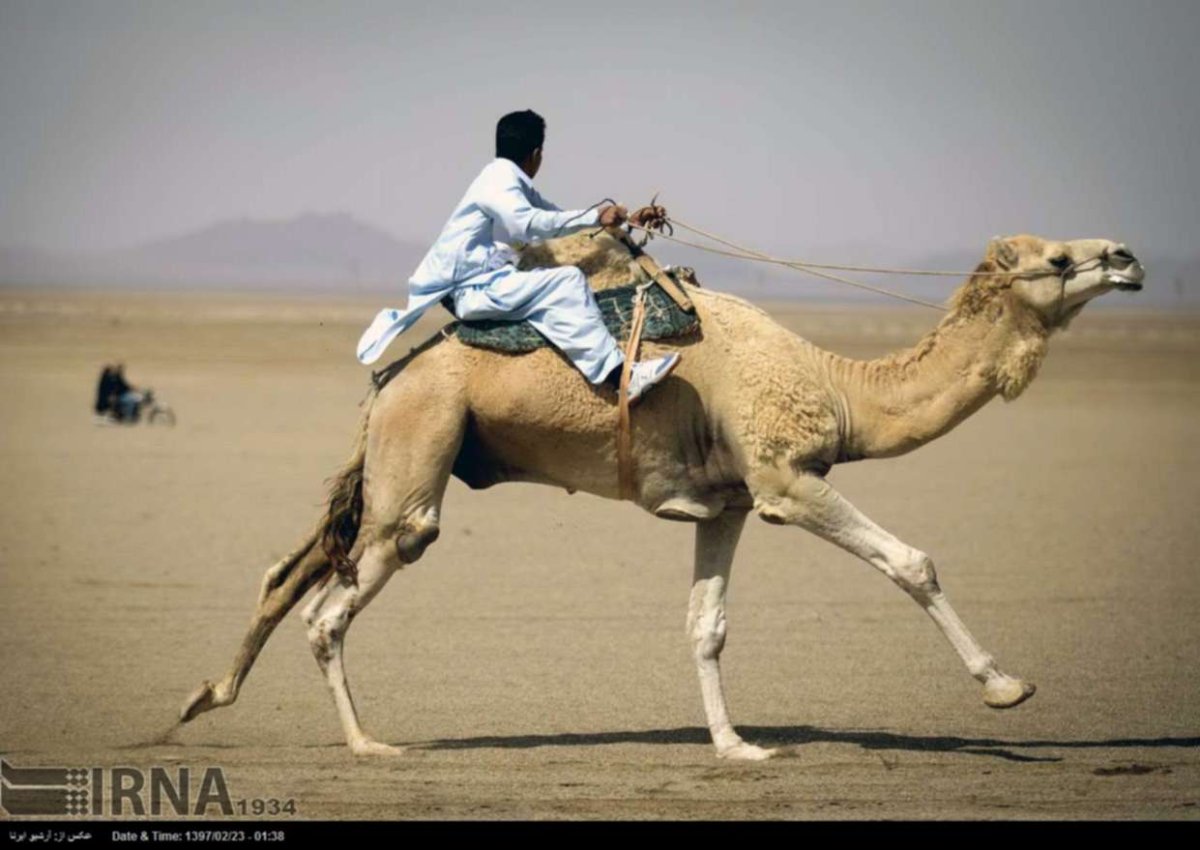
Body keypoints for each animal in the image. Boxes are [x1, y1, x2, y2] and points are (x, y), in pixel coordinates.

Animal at [179, 230, 1144, 760]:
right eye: (1060, 257)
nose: (1127, 258)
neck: (837, 388)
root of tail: (390, 375)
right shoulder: (786, 479)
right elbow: (913, 562)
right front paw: (1006, 687)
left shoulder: (733, 502)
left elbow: (705, 626)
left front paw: (737, 747)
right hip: (420, 446)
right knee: (341, 595)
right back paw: (368, 743)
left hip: (394, 452)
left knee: (291, 568)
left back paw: (206, 697)